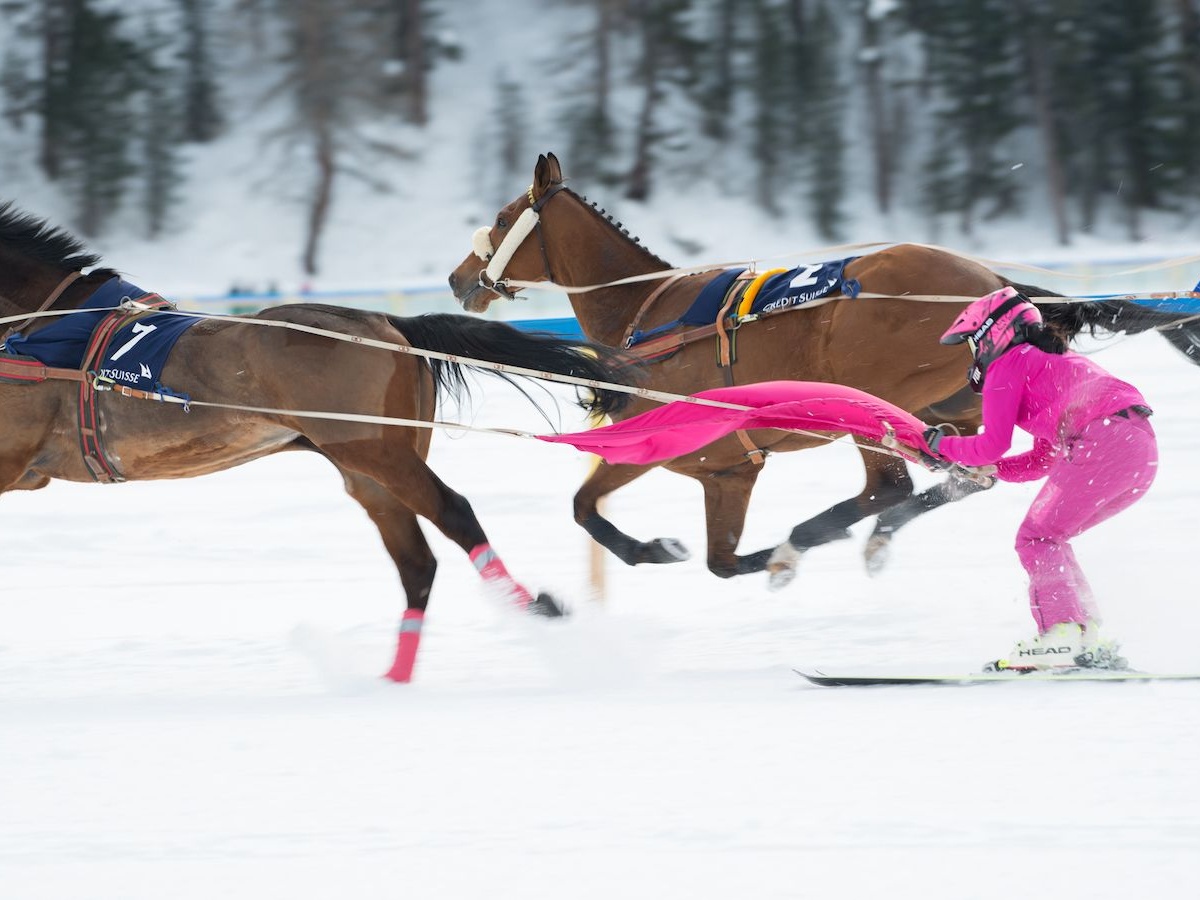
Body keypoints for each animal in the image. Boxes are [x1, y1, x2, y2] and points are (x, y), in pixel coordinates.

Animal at [448, 153, 1200, 592]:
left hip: (878, 397)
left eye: (502, 217)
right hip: (948, 406)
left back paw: (813, 541)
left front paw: (663, 549)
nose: (459, 279)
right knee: (960, 477)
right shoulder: (724, 470)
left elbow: (591, 511)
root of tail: (994, 284)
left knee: (895, 486)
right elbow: (714, 557)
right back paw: (857, 539)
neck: (645, 313)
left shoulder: (678, 447)